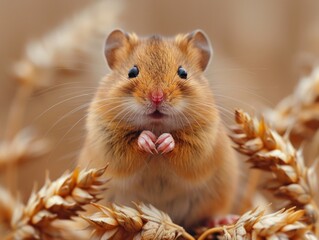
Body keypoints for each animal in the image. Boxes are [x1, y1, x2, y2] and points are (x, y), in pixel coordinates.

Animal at [79, 29, 240, 228]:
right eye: (132, 72)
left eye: (183, 72)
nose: (157, 97)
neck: (156, 126)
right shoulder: (107, 140)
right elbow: (129, 146)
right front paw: (148, 141)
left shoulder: (203, 141)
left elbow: (183, 148)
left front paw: (163, 142)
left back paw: (223, 220)